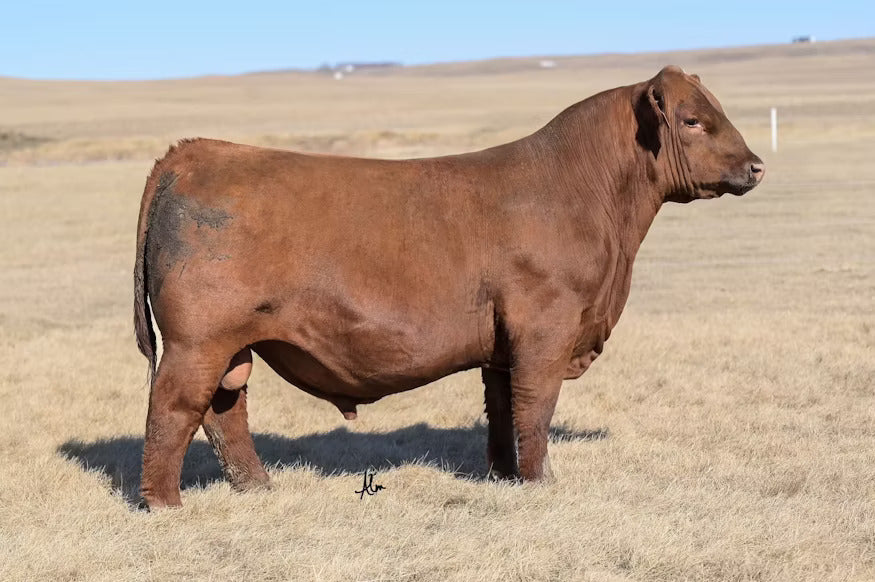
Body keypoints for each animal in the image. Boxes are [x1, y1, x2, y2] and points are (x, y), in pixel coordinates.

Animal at [133, 66, 764, 509]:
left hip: (231, 345)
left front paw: (506, 476)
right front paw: (542, 482)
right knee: (173, 407)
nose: (757, 165)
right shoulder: (545, 328)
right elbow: (536, 405)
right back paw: (165, 504)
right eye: (692, 120)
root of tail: (194, 152)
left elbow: (503, 407)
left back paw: (257, 488)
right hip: (197, 340)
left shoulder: (504, 344)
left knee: (224, 411)